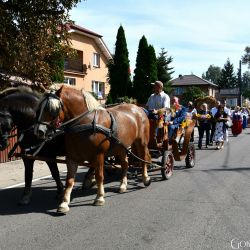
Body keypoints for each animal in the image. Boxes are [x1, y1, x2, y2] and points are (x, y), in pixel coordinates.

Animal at [33, 85, 150, 214]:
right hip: (121, 148)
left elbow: (99, 176)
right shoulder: (72, 157)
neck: (86, 123)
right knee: (125, 164)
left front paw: (99, 197)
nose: (39, 131)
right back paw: (123, 185)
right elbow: (69, 180)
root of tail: (138, 108)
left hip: (141, 142)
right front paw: (64, 203)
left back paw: (145, 178)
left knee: (143, 159)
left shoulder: (98, 156)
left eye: (52, 109)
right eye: (39, 108)